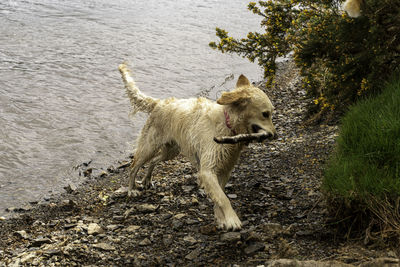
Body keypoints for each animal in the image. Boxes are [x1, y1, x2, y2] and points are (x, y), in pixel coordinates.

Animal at [117, 63, 276, 231]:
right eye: (265, 114)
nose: (275, 134)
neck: (227, 124)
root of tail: (158, 103)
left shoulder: (225, 169)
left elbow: (219, 196)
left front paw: (221, 219)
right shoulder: (208, 169)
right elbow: (223, 198)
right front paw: (232, 220)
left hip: (171, 151)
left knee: (154, 161)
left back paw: (147, 180)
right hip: (149, 146)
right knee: (133, 167)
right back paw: (131, 190)